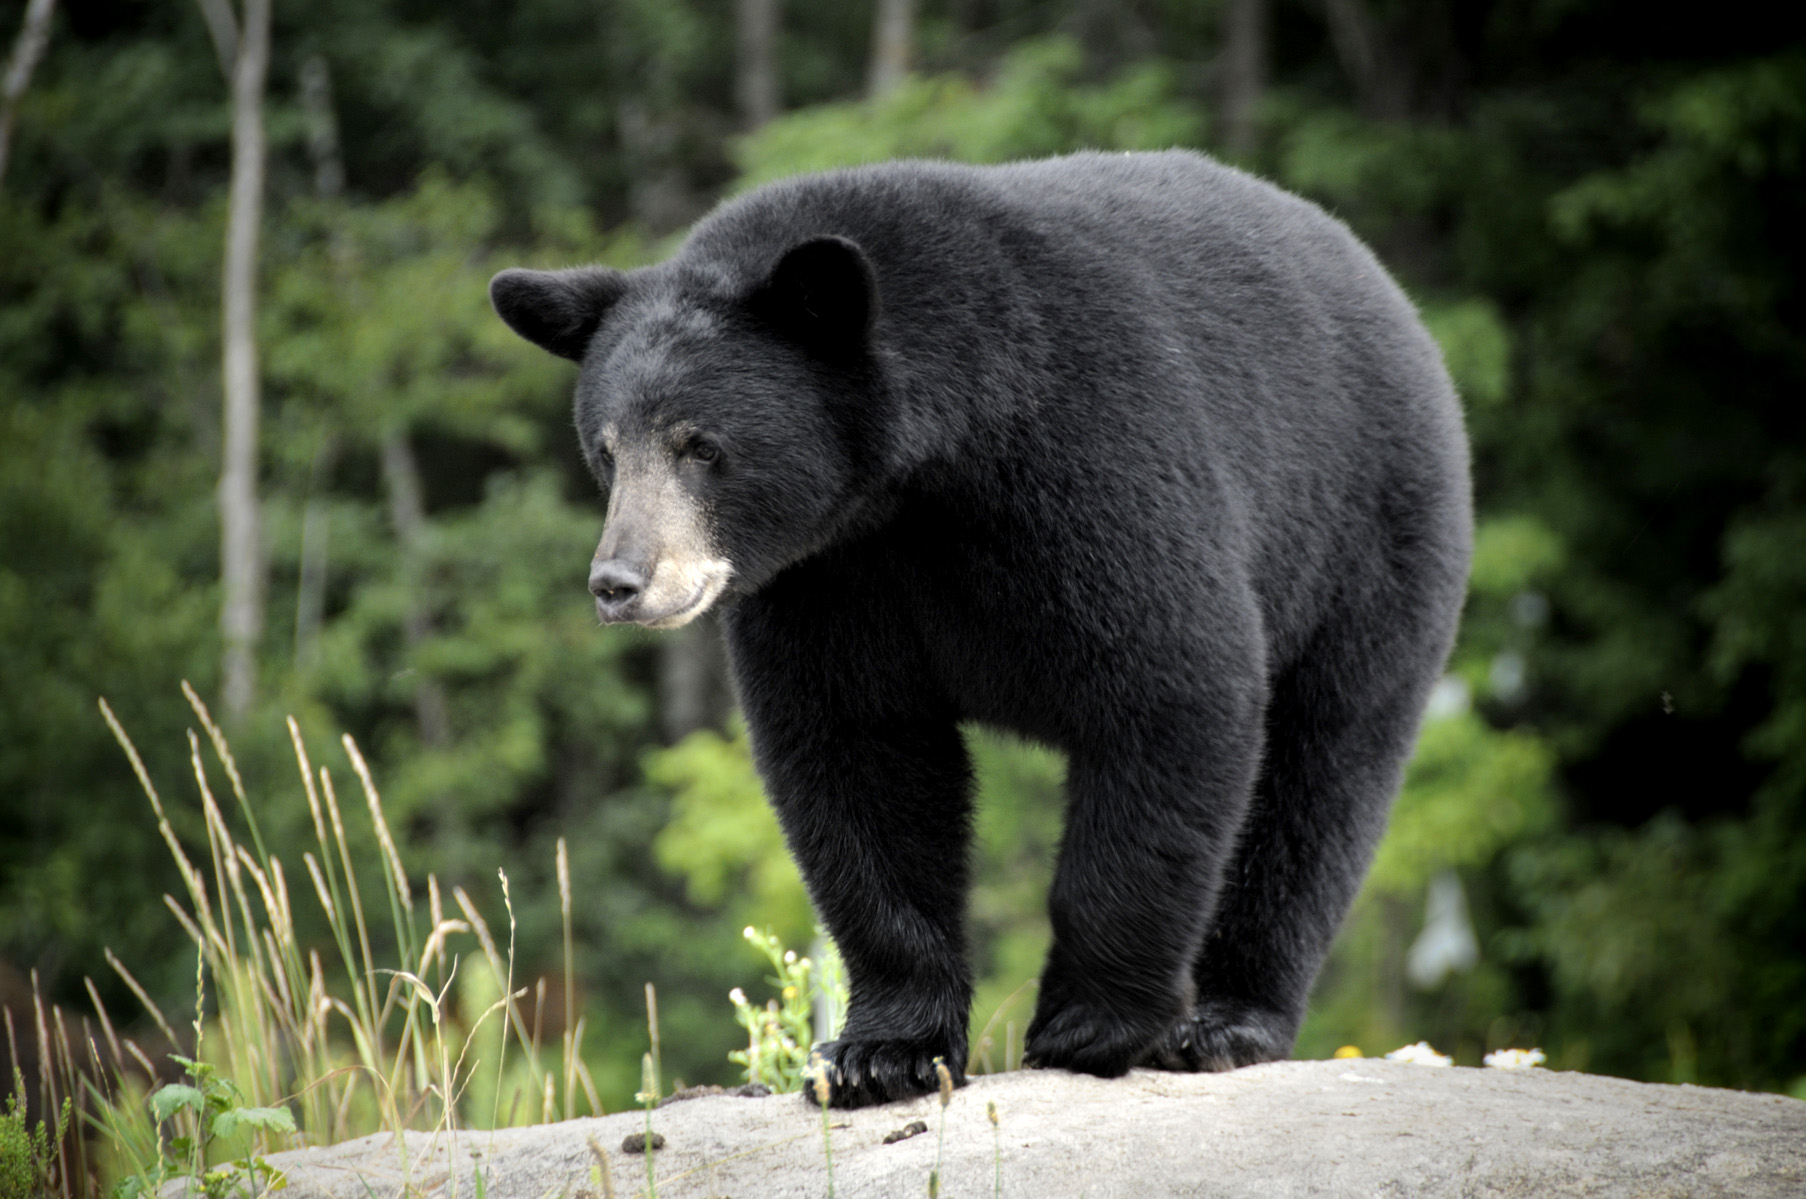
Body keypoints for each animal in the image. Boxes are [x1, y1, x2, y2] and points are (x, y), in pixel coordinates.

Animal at [491, 149, 1466, 1105]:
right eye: (607, 450)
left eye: (702, 445)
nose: (619, 582)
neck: (923, 476)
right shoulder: (830, 577)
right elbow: (857, 754)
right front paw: (881, 1051)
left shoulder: (1094, 457)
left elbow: (1172, 685)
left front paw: (1090, 1024)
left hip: (1367, 541)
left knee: (1320, 780)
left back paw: (1229, 1021)